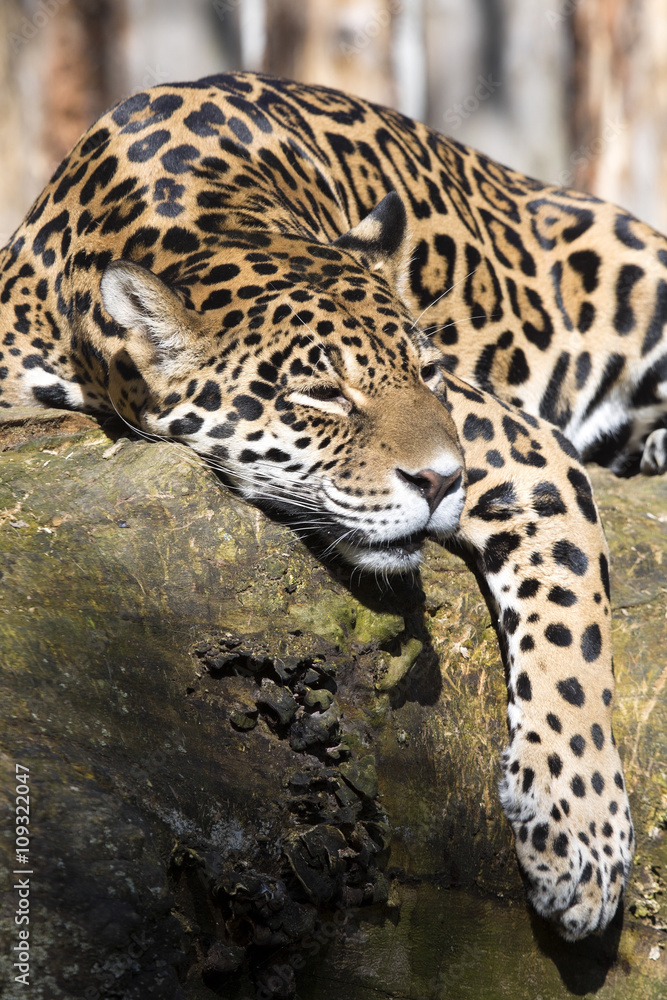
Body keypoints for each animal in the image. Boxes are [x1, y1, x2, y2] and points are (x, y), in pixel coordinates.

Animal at [3, 70, 661, 942]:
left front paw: (579, 832)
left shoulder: (522, 447)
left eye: (428, 371)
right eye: (320, 394)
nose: (442, 480)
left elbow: (571, 631)